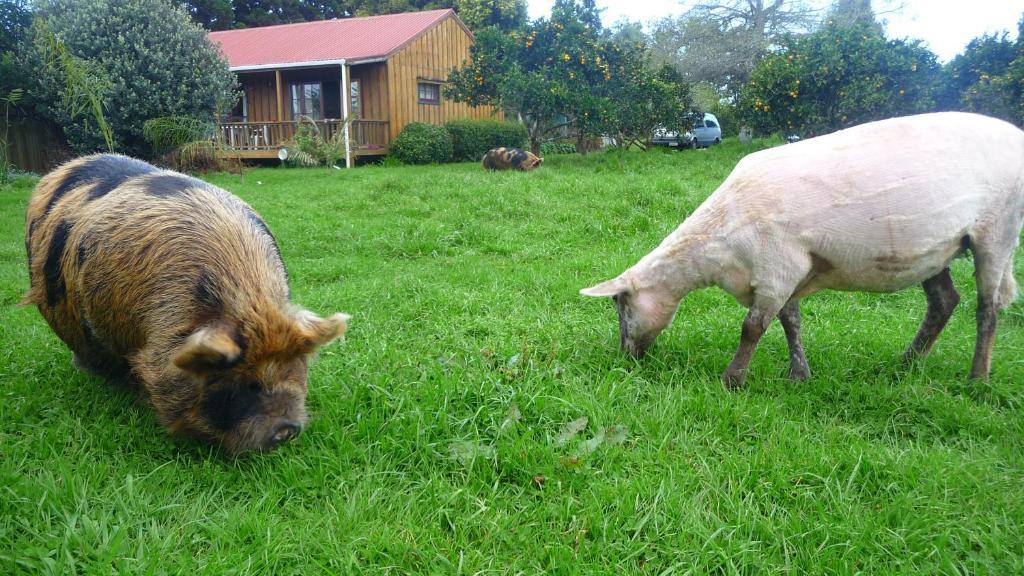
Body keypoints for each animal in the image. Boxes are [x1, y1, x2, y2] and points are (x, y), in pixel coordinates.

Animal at [585, 112, 1024, 387]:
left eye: (621, 306)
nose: (625, 358)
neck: (715, 244)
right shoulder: (789, 269)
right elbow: (789, 321)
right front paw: (799, 375)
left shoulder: (778, 265)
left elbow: (753, 327)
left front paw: (732, 380)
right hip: (935, 248)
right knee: (944, 301)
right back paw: (907, 363)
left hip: (997, 228)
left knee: (987, 309)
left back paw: (977, 379)